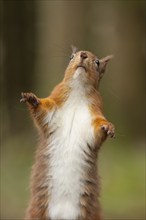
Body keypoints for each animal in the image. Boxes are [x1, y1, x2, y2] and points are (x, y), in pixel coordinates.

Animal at [20, 46, 115, 220]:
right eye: (71, 57)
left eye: (97, 62)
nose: (82, 55)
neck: (78, 91)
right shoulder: (53, 112)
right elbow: (43, 111)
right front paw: (32, 99)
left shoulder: (93, 118)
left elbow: (97, 129)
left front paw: (108, 127)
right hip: (37, 212)